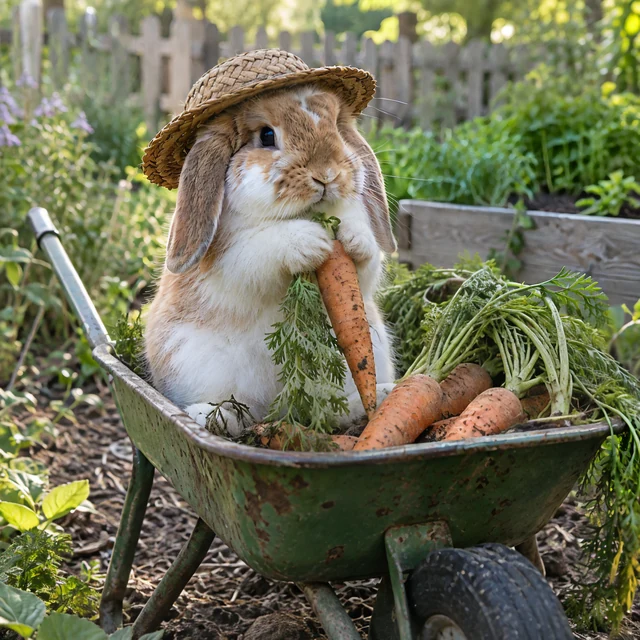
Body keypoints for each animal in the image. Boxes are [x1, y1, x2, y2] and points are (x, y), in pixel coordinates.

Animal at [144, 85, 397, 437]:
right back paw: (215, 418)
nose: (326, 175)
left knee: (331, 409)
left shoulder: (363, 278)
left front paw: (351, 235)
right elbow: (263, 249)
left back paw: (378, 398)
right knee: (242, 409)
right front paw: (312, 241)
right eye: (267, 136)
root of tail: (282, 410)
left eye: (336, 127)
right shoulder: (232, 261)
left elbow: (367, 263)